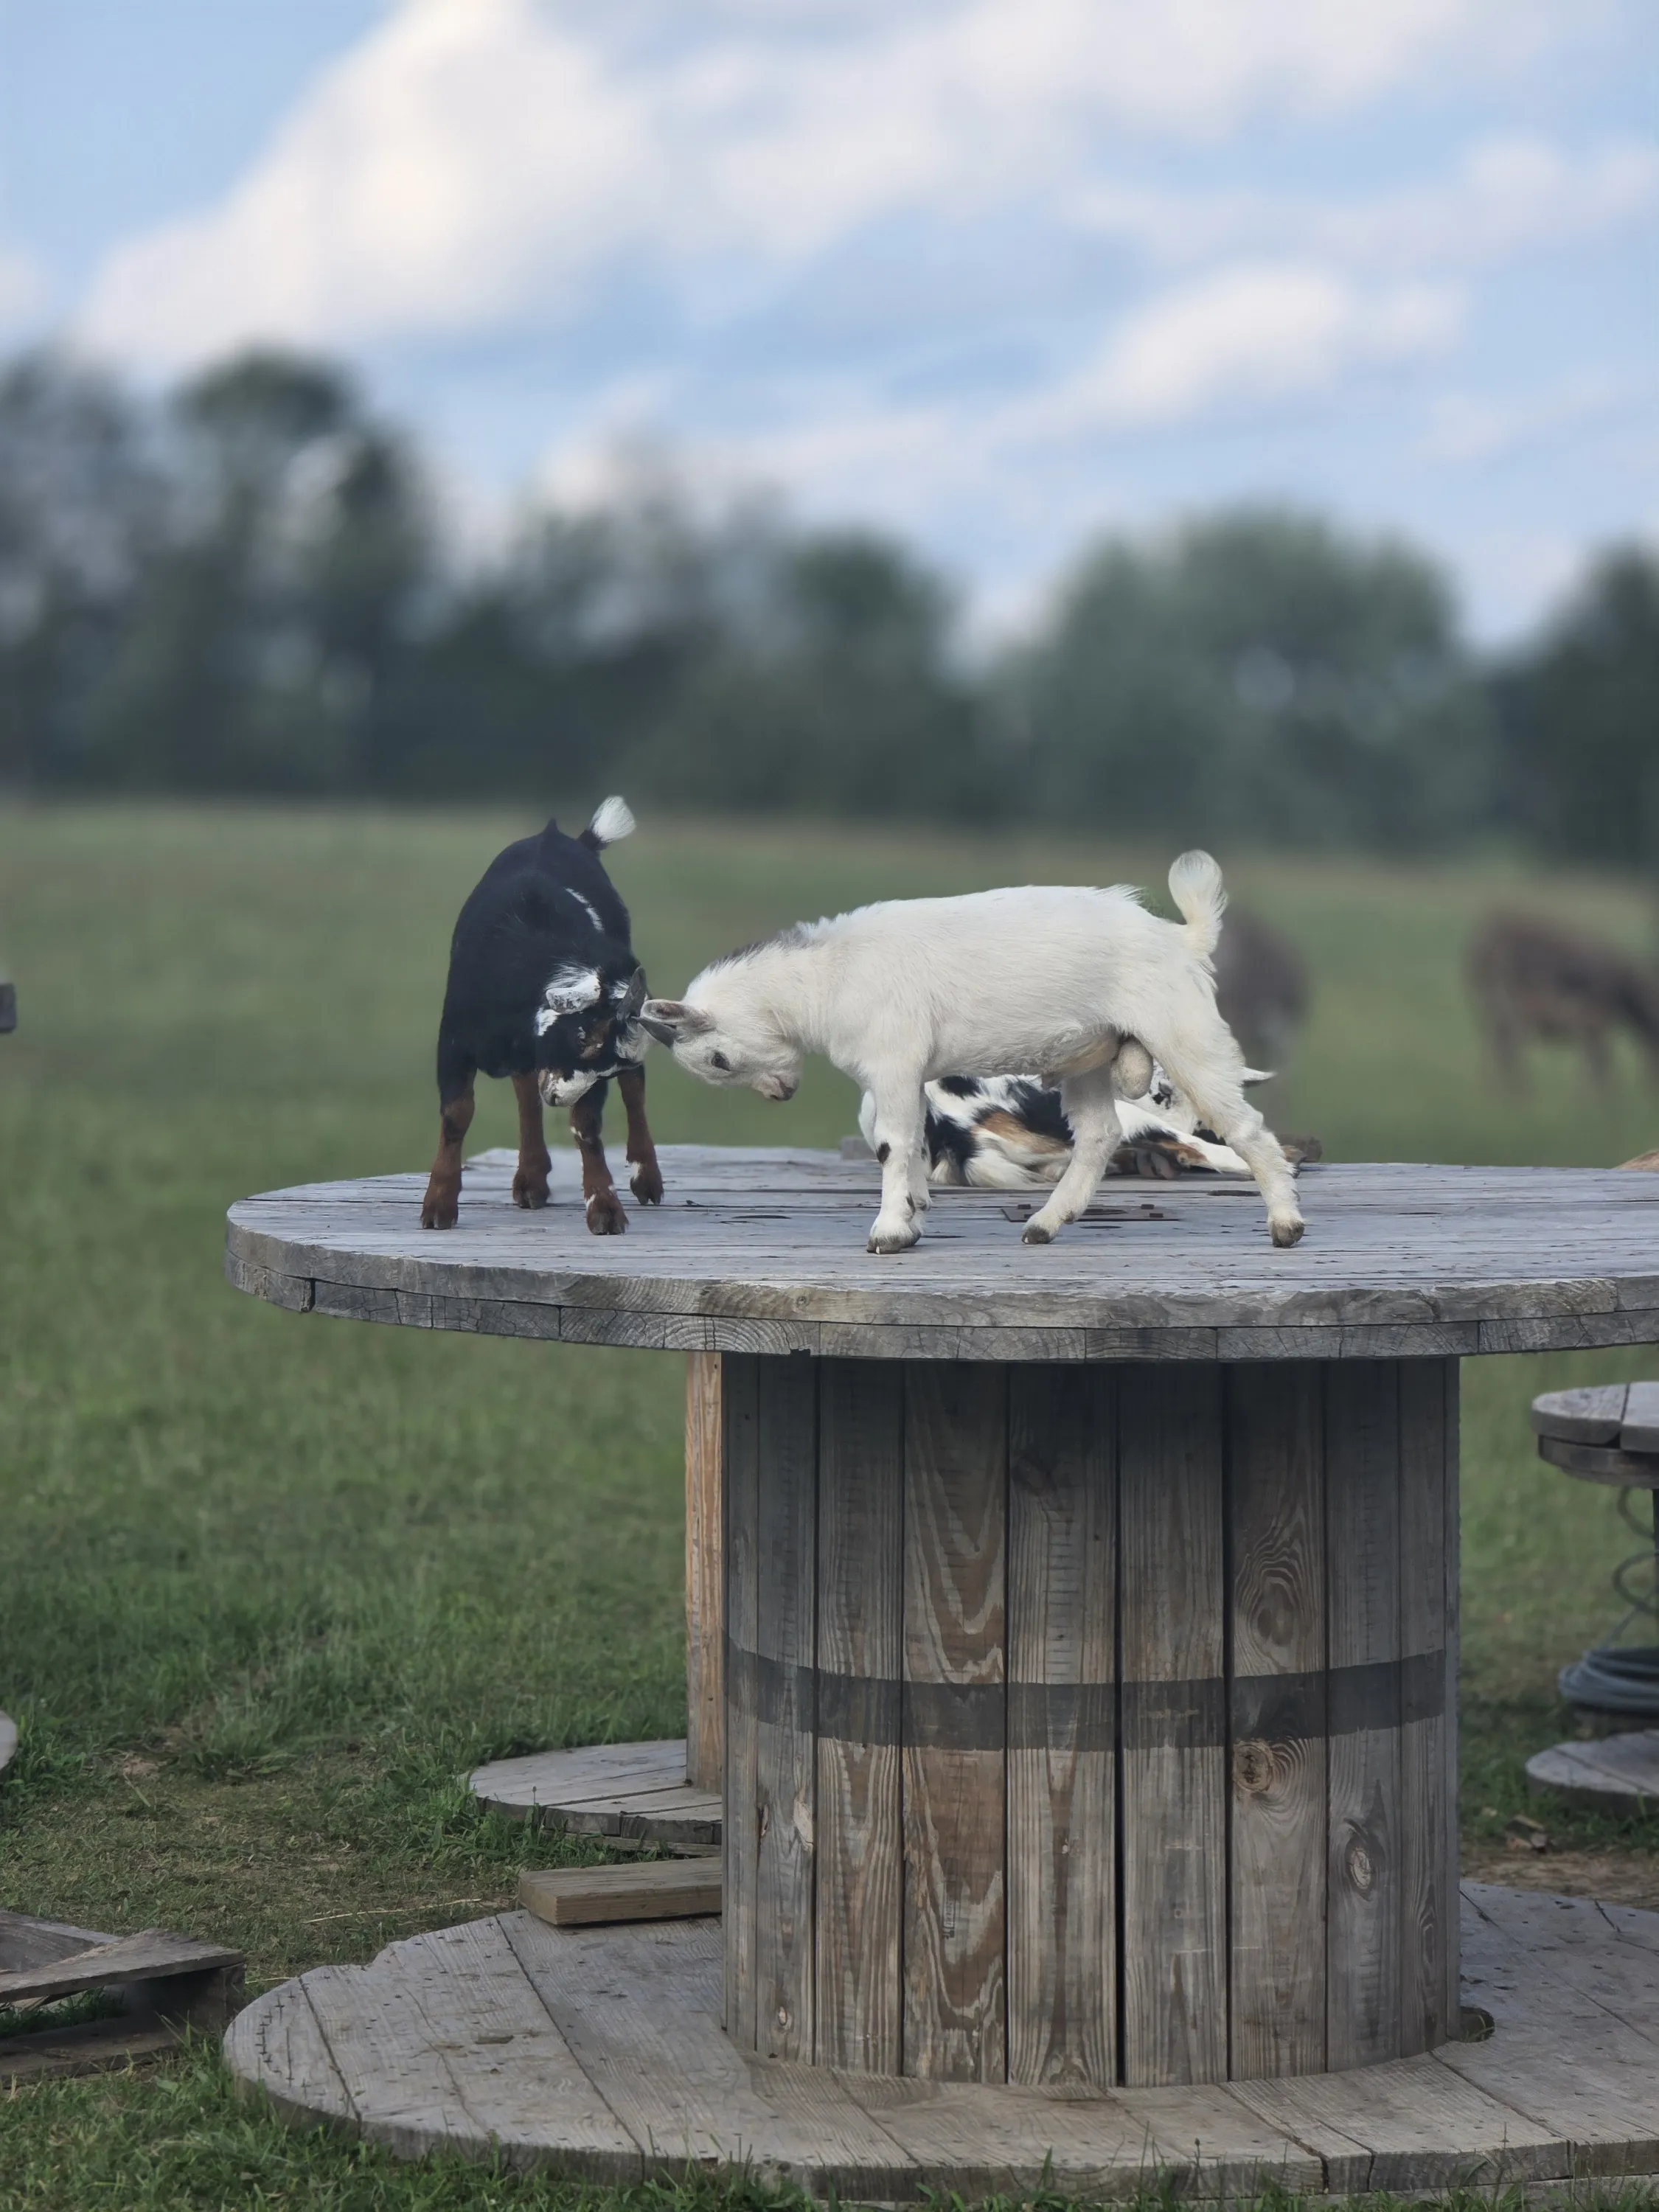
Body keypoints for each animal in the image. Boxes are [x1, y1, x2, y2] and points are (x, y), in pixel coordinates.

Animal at [421, 797, 663, 1236]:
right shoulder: (453, 1041)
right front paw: (439, 1205)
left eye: (607, 1067)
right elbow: (457, 1114)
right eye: (584, 1038)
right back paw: (531, 1178)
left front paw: (605, 1208)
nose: (559, 1097)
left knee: (634, 1092)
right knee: (526, 1091)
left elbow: (587, 1126)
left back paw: (645, 1177)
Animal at [641, 851, 1305, 1252]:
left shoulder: (893, 1063)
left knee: (1246, 1128)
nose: (780, 1093)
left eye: (719, 1060)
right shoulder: (908, 1077)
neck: (826, 978)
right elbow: (911, 1149)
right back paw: (1045, 1224)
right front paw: (912, 1219)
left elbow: (892, 1147)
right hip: (1091, 1062)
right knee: (1098, 1137)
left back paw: (1286, 1223)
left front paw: (888, 1232)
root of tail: (1182, 938)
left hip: (1185, 1035)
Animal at [1468, 912, 1659, 1090]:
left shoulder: (1592, 1027)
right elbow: (1601, 1064)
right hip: (1509, 1010)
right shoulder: (1596, 1023)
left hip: (1496, 1012)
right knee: (1506, 1050)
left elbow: (1597, 1064)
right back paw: (1517, 1091)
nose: (1650, 1088)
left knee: (1499, 1049)